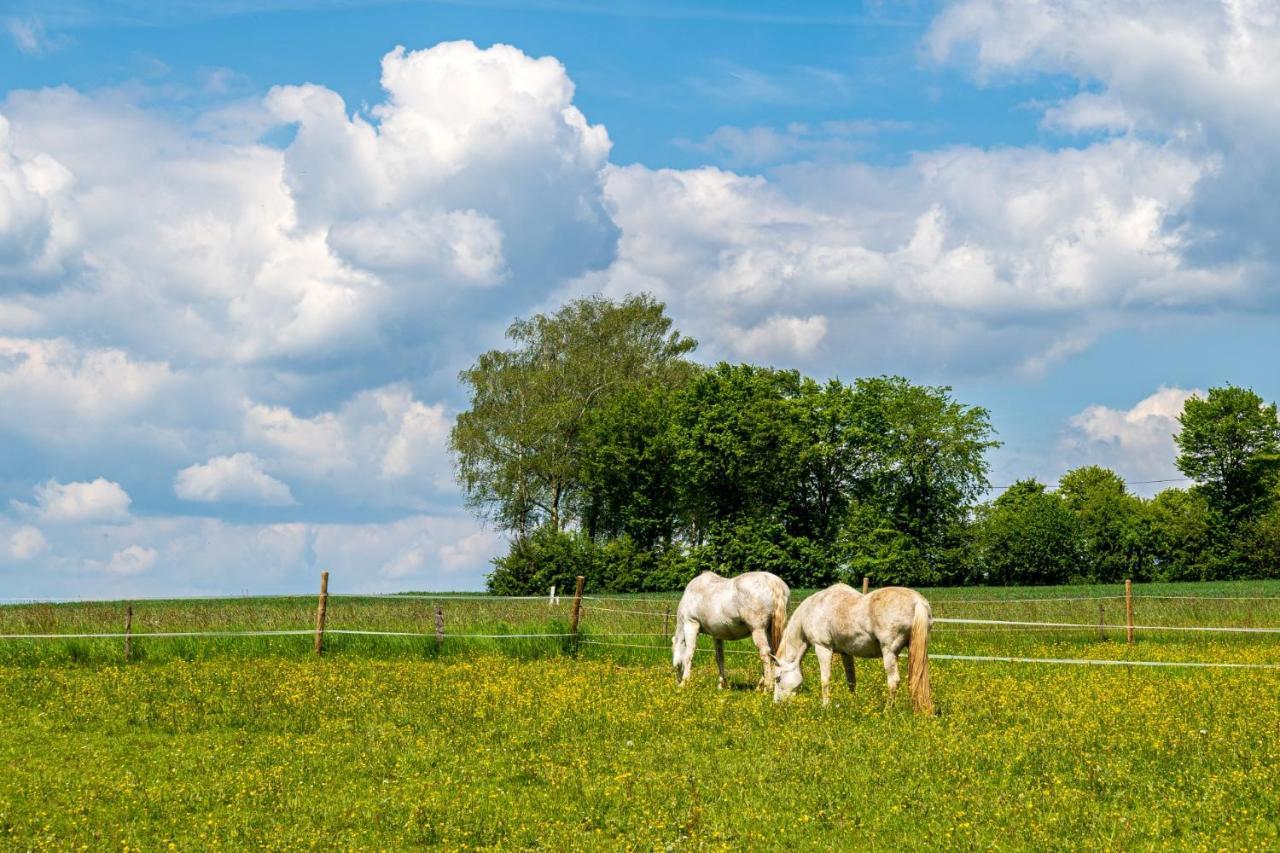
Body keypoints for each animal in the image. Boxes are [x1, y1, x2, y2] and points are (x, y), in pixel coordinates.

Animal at [762, 578, 936, 712]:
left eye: (778, 678)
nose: (777, 703)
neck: (813, 609)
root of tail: (917, 601)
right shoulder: (846, 653)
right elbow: (851, 679)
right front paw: (854, 703)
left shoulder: (823, 648)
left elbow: (825, 679)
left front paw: (825, 706)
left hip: (889, 653)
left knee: (893, 681)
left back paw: (887, 711)